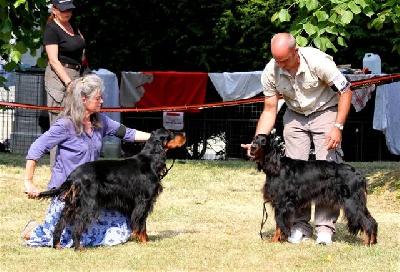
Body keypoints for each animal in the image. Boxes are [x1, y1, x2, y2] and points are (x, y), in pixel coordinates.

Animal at [38, 127, 187, 251]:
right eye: (170, 134)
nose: (185, 134)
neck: (150, 160)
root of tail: (74, 175)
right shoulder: (144, 202)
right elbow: (141, 224)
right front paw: (144, 242)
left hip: (71, 204)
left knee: (60, 223)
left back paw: (57, 246)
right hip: (89, 204)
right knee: (77, 225)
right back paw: (79, 248)